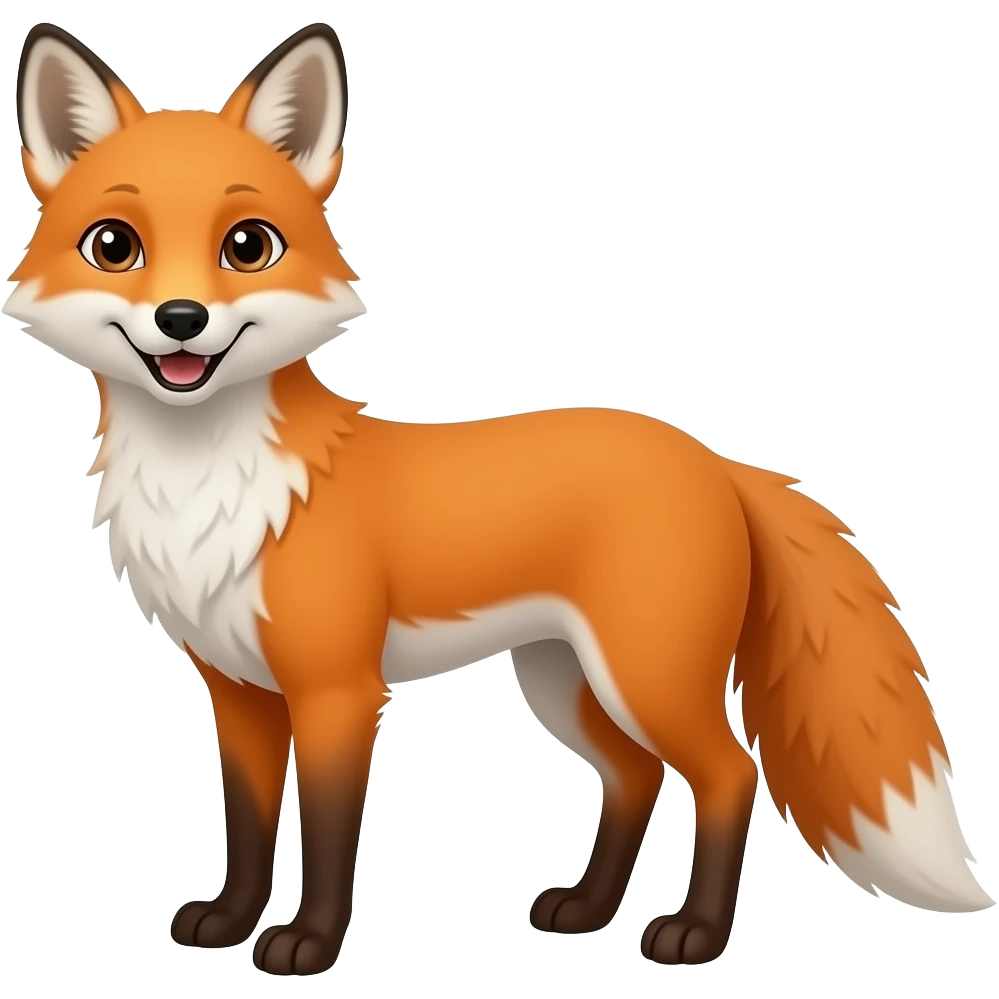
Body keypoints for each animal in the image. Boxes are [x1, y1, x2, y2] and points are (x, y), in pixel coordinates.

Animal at [6, 19, 994, 978]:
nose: (182, 320)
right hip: (564, 681)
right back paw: (587, 911)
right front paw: (228, 920)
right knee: (634, 777)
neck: (210, 488)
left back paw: (695, 934)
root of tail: (713, 457)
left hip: (646, 676)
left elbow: (327, 835)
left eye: (247, 245)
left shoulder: (337, 690)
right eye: (114, 245)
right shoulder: (238, 690)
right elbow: (247, 826)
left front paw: (307, 945)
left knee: (727, 774)